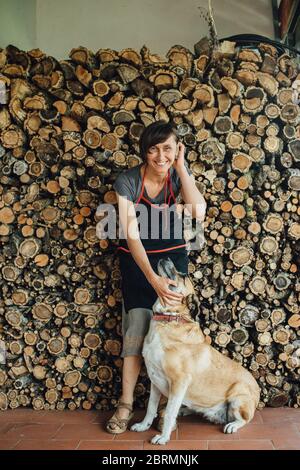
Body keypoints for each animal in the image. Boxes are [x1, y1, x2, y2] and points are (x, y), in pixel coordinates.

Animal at [131, 258, 260, 444]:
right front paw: (143, 426)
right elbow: (150, 408)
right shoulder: (154, 379)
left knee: (245, 419)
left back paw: (232, 425)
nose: (166, 258)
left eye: (184, 276)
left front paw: (163, 437)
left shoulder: (179, 381)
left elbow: (169, 413)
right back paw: (185, 410)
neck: (168, 319)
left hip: (238, 396)